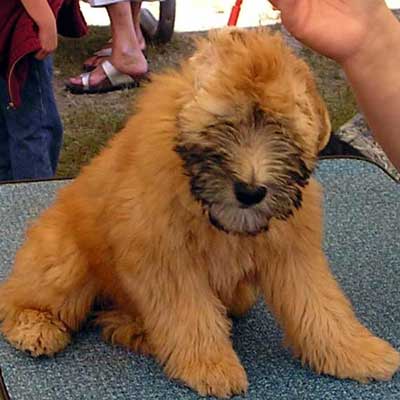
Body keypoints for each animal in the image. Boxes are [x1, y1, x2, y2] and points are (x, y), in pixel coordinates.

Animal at [0, 28, 400, 396]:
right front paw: (211, 366)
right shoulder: (167, 258)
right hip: (65, 260)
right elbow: (191, 317)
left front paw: (356, 352)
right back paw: (37, 327)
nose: (250, 192)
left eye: (281, 128)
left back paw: (135, 328)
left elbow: (321, 308)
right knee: (19, 296)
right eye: (224, 122)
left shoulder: (292, 252)